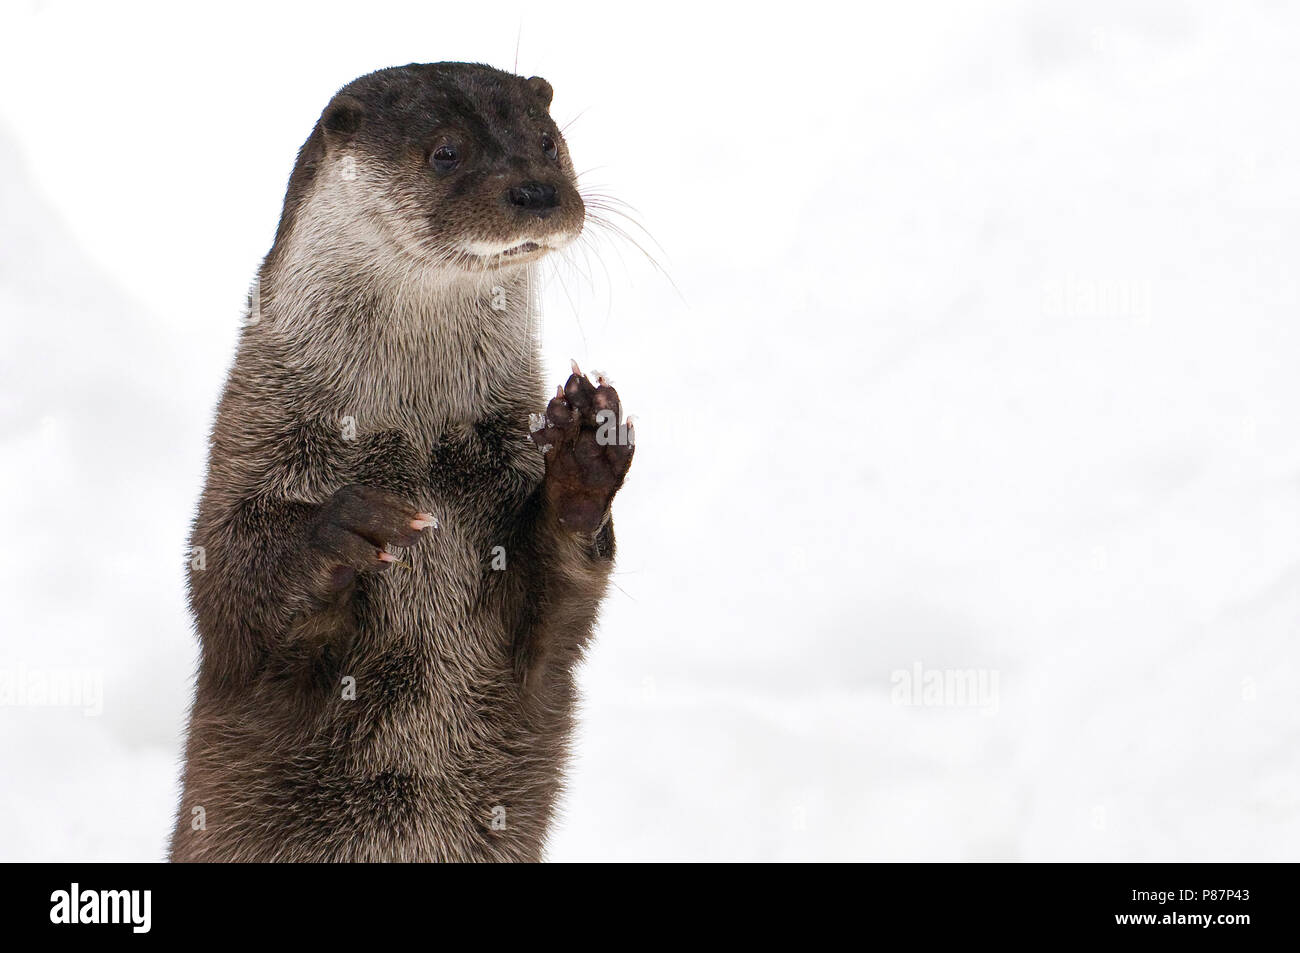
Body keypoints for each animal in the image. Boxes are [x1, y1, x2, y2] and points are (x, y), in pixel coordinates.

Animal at [170, 63, 637, 858]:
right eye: (446, 152)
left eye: (548, 141)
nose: (537, 190)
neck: (414, 432)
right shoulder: (249, 451)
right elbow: (231, 592)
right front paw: (347, 527)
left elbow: (559, 608)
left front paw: (583, 453)